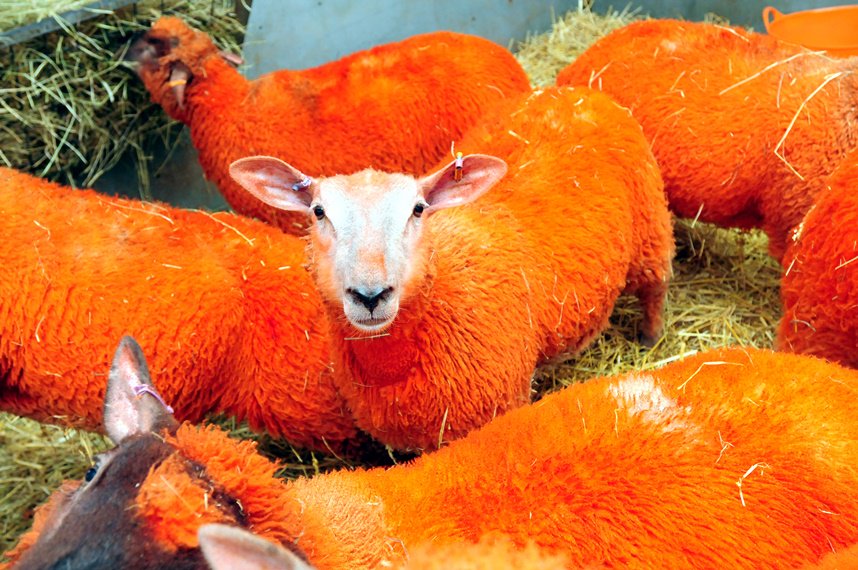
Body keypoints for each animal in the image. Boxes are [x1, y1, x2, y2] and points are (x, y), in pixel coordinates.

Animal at [229, 85, 675, 451]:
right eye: (319, 212)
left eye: (418, 209)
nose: (371, 295)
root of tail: (576, 92)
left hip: (650, 231)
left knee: (655, 288)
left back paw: (650, 339)